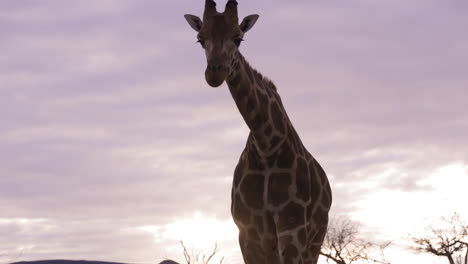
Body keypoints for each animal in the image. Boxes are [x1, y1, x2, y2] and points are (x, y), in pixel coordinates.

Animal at [183, 1, 332, 262]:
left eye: (238, 38)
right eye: (200, 39)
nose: (214, 73)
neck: (266, 145)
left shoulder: (292, 228)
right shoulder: (248, 232)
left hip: (315, 240)